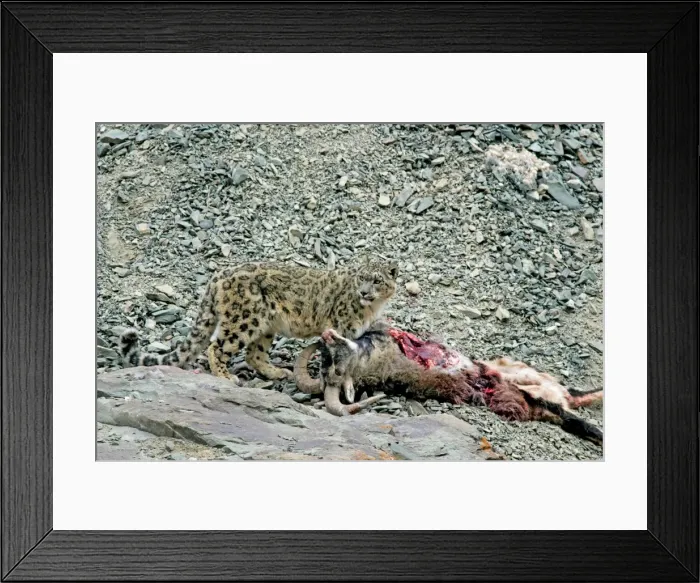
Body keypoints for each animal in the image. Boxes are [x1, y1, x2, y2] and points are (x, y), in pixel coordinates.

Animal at [119, 256, 398, 384]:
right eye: (361, 277)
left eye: (376, 280)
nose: (364, 292)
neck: (372, 308)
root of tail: (217, 276)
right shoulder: (342, 329)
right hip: (243, 321)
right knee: (216, 346)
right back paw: (226, 376)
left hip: (265, 327)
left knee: (255, 354)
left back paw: (278, 372)